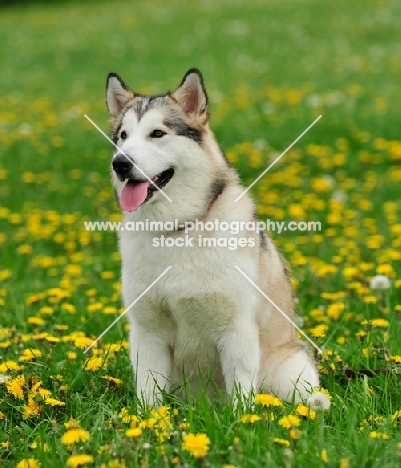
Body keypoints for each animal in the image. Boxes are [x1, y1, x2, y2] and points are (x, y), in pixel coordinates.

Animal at [104, 68, 318, 406]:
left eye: (157, 134)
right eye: (123, 136)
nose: (120, 164)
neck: (178, 229)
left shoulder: (237, 329)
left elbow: (241, 395)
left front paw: (242, 417)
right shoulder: (147, 331)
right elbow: (148, 394)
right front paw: (147, 418)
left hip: (292, 374)